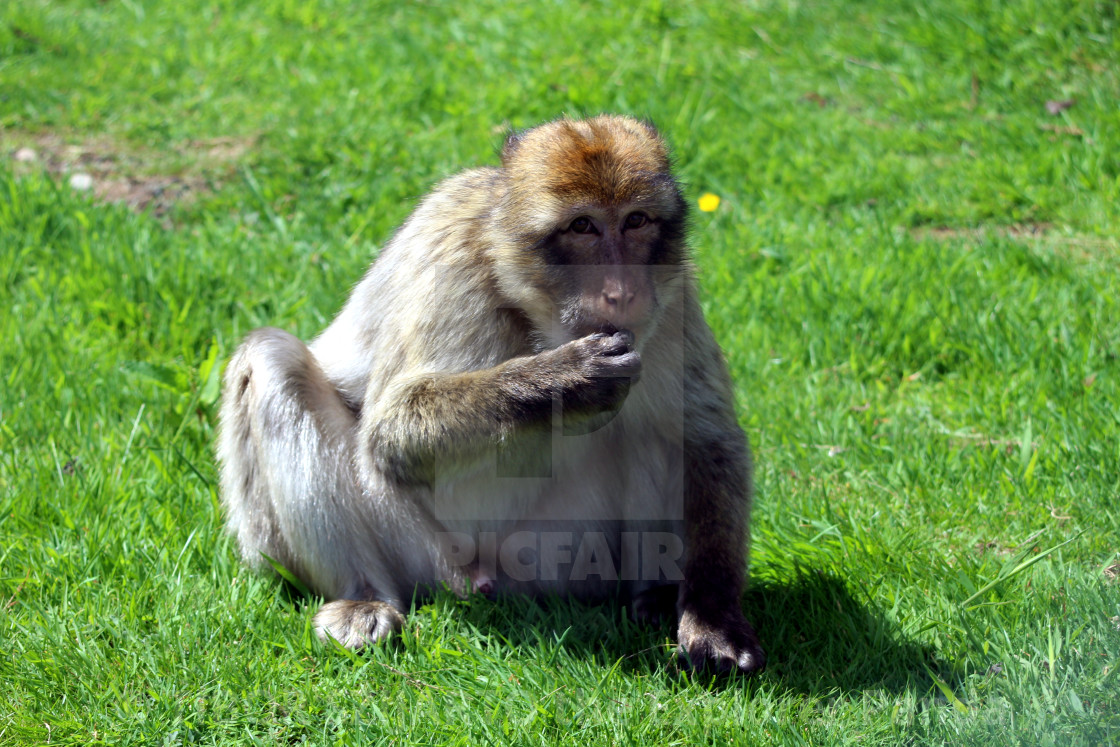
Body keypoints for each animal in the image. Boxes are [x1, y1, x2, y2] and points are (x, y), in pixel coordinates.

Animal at [213, 112, 766, 676]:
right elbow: (391, 433)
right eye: (583, 227)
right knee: (272, 360)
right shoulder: (452, 270)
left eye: (636, 221)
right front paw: (563, 380)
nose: (623, 291)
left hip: (574, 552)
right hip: (421, 554)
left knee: (654, 435)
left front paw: (712, 616)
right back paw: (362, 596)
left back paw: (652, 595)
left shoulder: (673, 302)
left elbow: (706, 441)